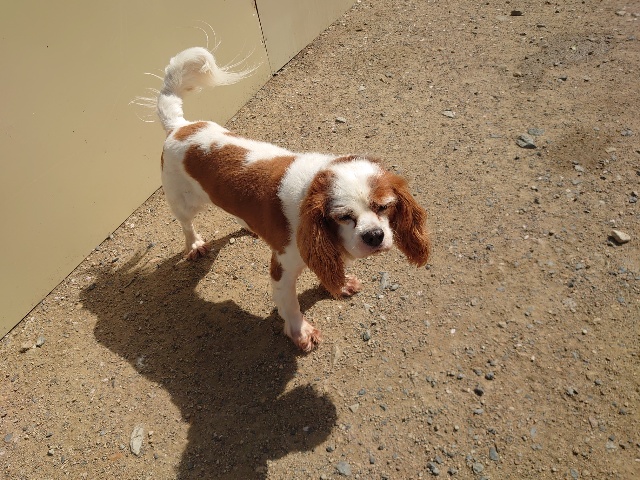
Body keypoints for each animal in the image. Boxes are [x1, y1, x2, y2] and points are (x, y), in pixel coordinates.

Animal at [151, 47, 431, 351]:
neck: (310, 192)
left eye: (384, 206)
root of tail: (180, 127)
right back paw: (194, 244)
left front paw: (341, 283)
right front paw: (300, 332)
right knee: (186, 224)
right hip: (183, 201)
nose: (374, 236)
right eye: (344, 217)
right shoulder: (282, 269)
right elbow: (291, 305)